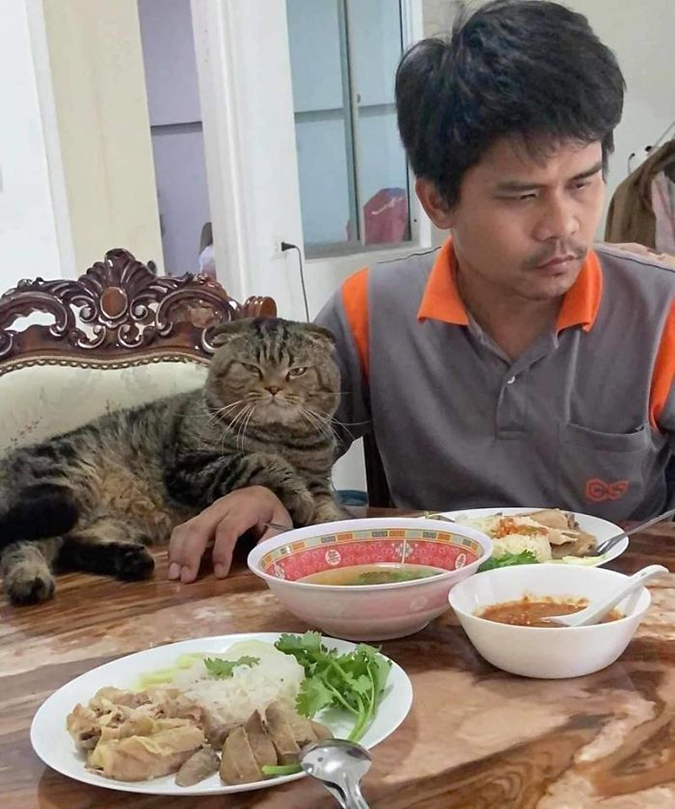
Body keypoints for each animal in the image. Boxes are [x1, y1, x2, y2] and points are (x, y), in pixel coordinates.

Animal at [0, 318, 346, 604]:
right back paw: (29, 578)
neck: (279, 436)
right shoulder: (191, 468)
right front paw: (296, 495)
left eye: (297, 371)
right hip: (61, 485)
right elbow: (261, 461)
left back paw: (129, 559)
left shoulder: (320, 482)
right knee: (20, 544)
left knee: (74, 544)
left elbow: (330, 512)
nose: (274, 388)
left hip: (105, 518)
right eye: (252, 368)